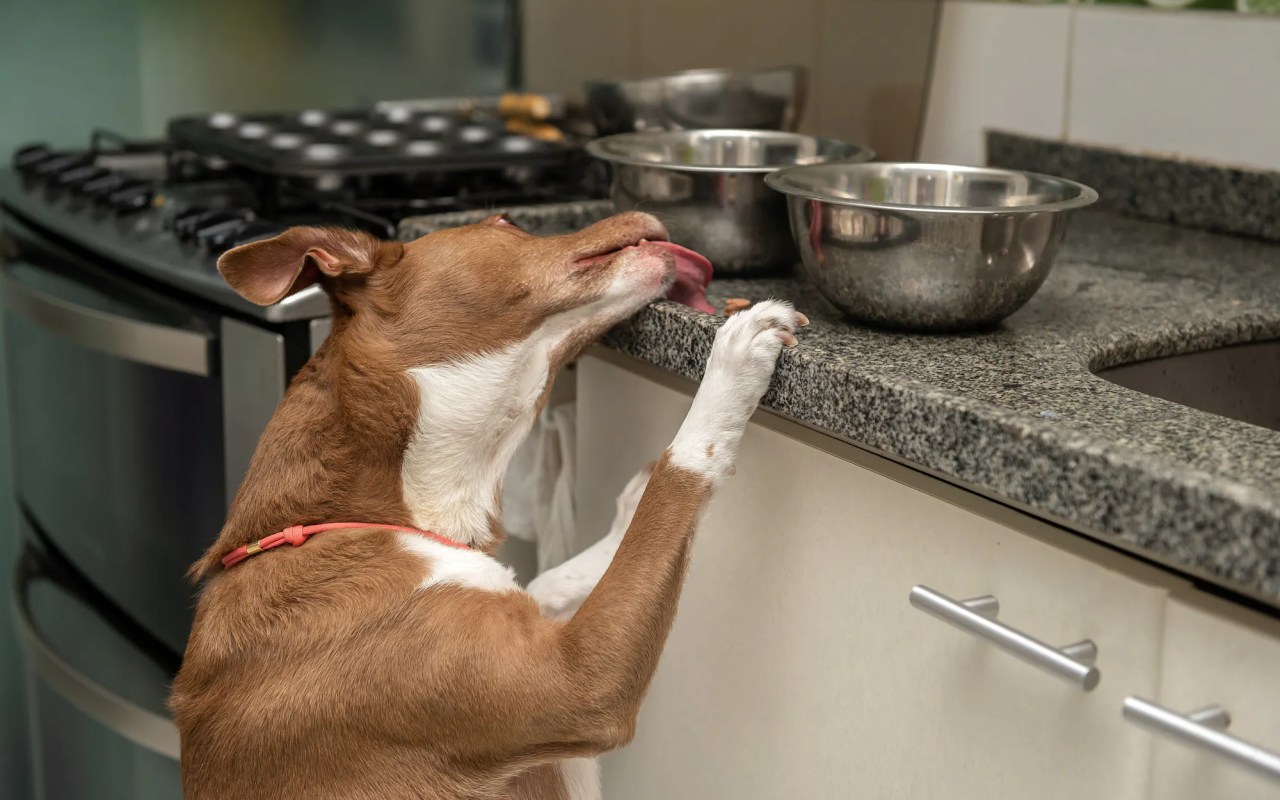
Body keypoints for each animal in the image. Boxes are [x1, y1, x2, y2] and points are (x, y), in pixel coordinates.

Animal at [170, 212, 803, 798]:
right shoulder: (579, 681)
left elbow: (554, 577)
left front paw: (620, 512)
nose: (644, 214)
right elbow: (676, 482)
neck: (345, 516)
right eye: (505, 221)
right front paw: (734, 359)